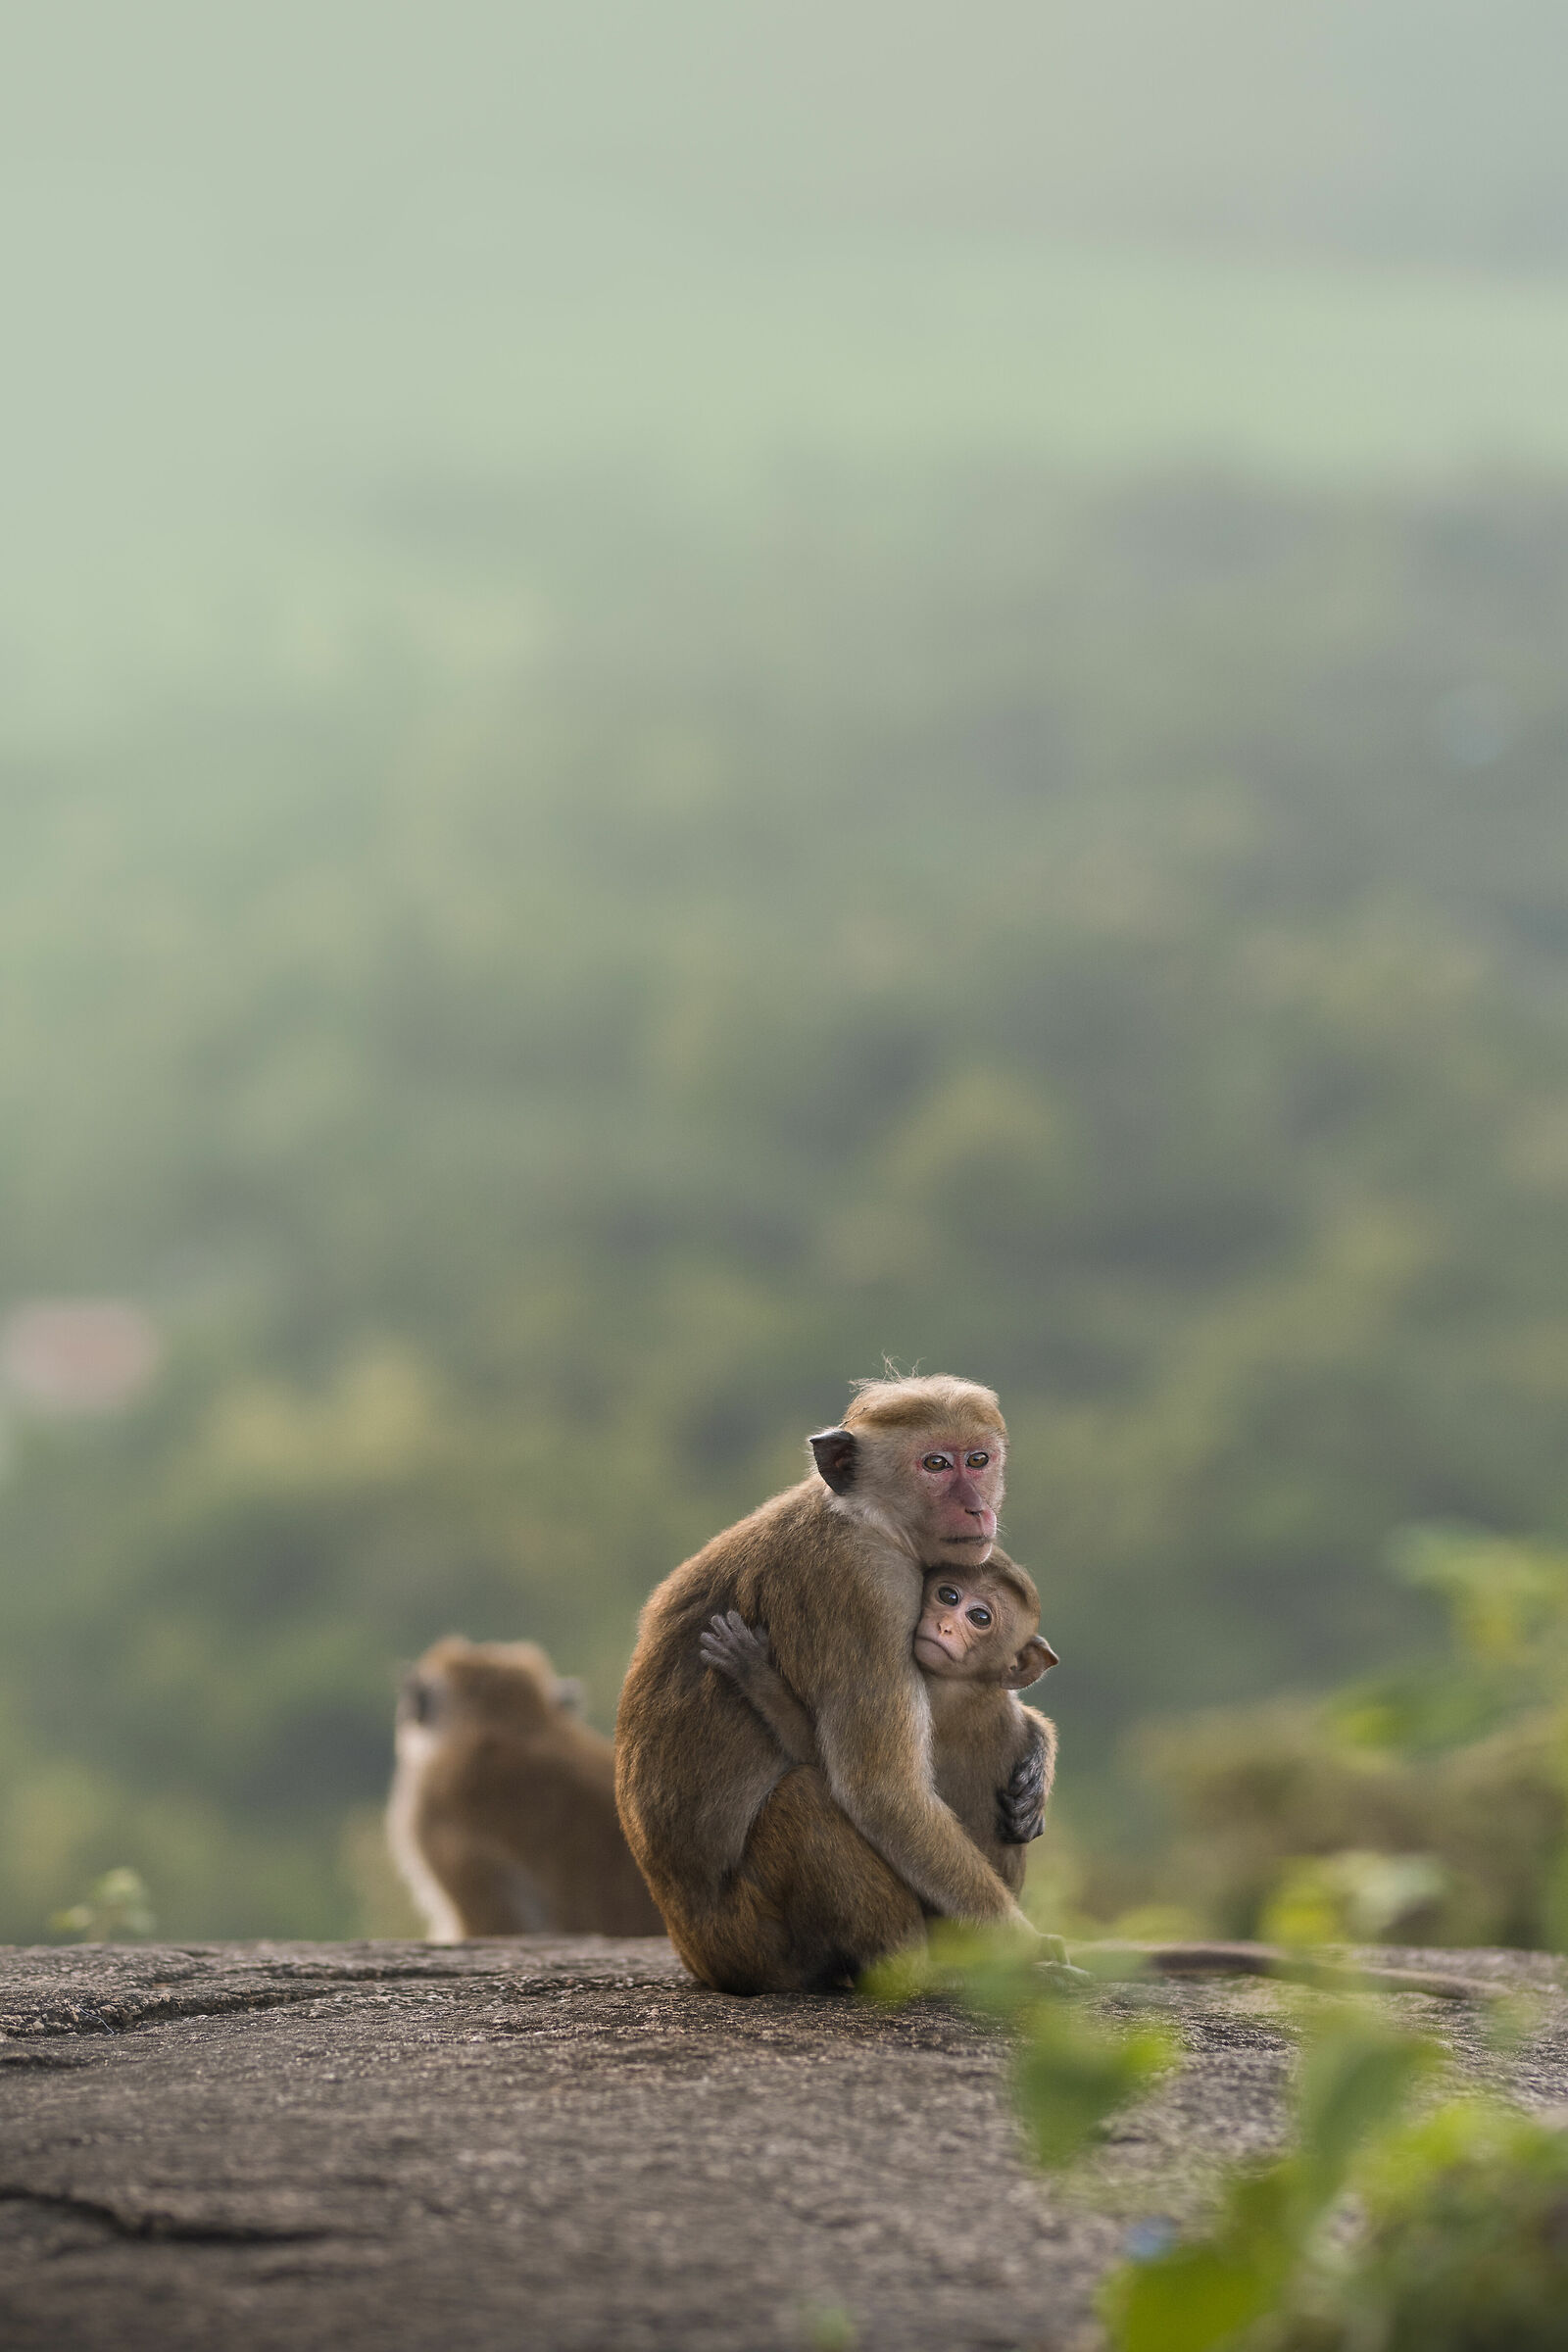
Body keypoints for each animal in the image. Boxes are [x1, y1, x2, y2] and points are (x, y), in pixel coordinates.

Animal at [698, 1559, 1059, 1896]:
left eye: (980, 1618)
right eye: (948, 1595)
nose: (944, 1626)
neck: (971, 1686)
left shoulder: (933, 1704)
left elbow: (838, 1769)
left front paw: (755, 1673)